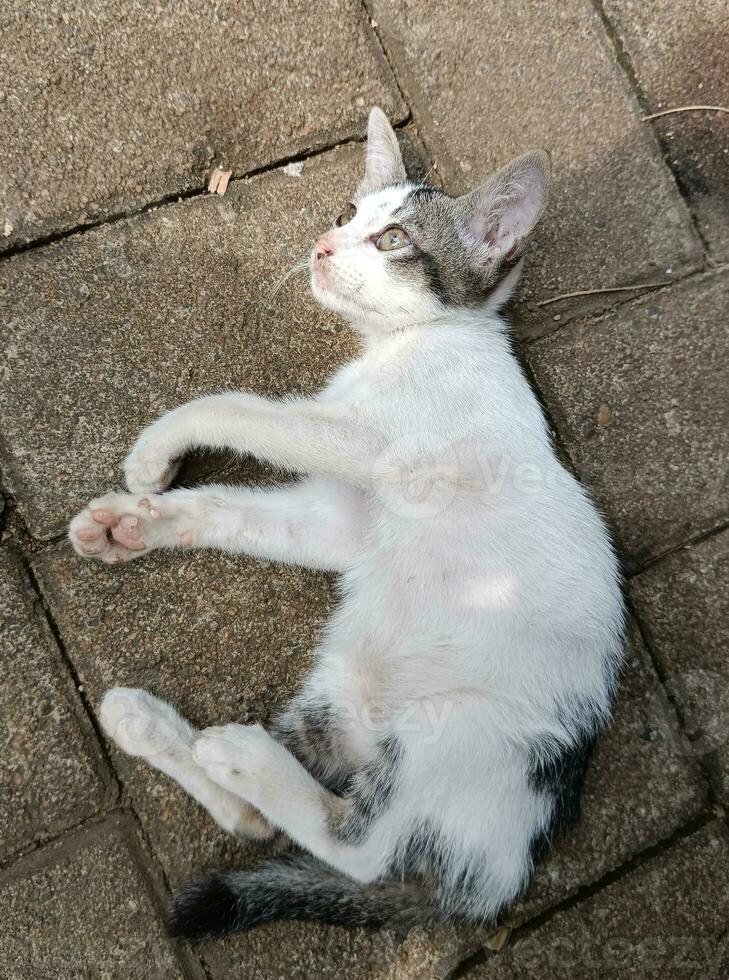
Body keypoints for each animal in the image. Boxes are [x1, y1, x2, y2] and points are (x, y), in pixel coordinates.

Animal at [68, 107, 624, 940]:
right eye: (343, 214)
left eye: (392, 239)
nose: (322, 247)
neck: (418, 341)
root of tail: (495, 879)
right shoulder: (348, 519)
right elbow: (241, 510)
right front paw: (133, 519)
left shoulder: (371, 444)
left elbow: (240, 408)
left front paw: (158, 446)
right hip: (339, 698)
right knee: (265, 815)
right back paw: (167, 732)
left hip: (452, 728)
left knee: (359, 848)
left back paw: (243, 757)